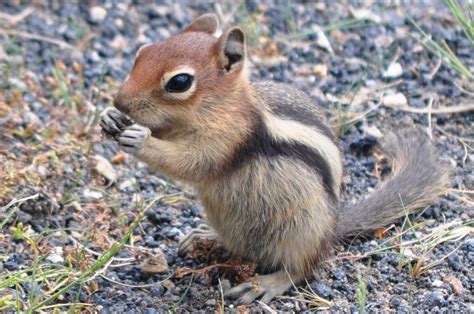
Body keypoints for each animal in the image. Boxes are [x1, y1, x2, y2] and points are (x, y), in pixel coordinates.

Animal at [101, 14, 452, 304]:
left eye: (179, 82)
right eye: (142, 53)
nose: (120, 101)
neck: (222, 106)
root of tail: (332, 229)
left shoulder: (229, 137)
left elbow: (193, 162)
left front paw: (140, 139)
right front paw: (110, 118)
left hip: (302, 232)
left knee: (303, 268)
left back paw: (266, 283)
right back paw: (205, 236)